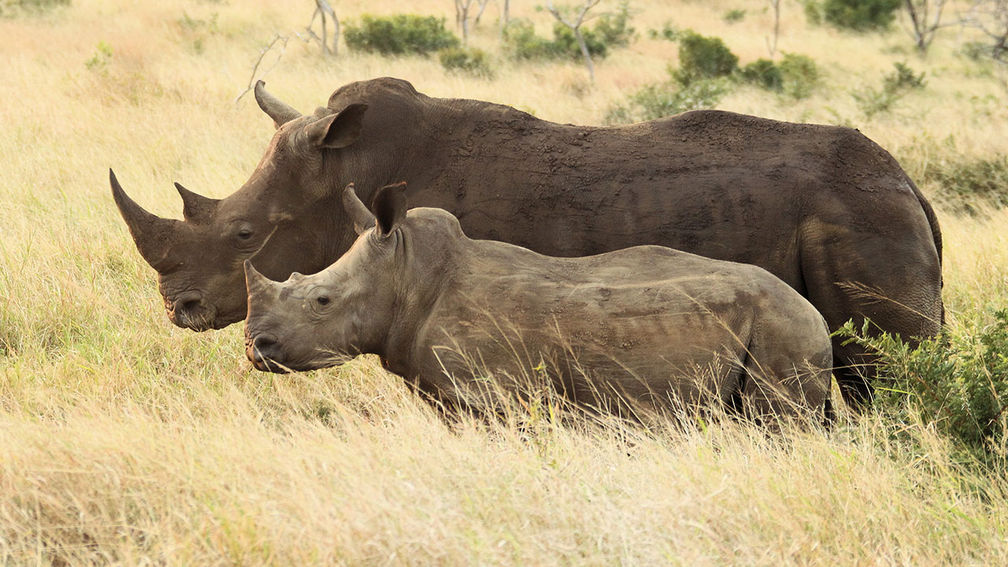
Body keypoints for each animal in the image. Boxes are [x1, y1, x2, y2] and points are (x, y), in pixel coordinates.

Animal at [243, 184, 834, 423]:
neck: (407, 274)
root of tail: (816, 315)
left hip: (783, 329)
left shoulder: (493, 395)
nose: (255, 347)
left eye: (322, 300)